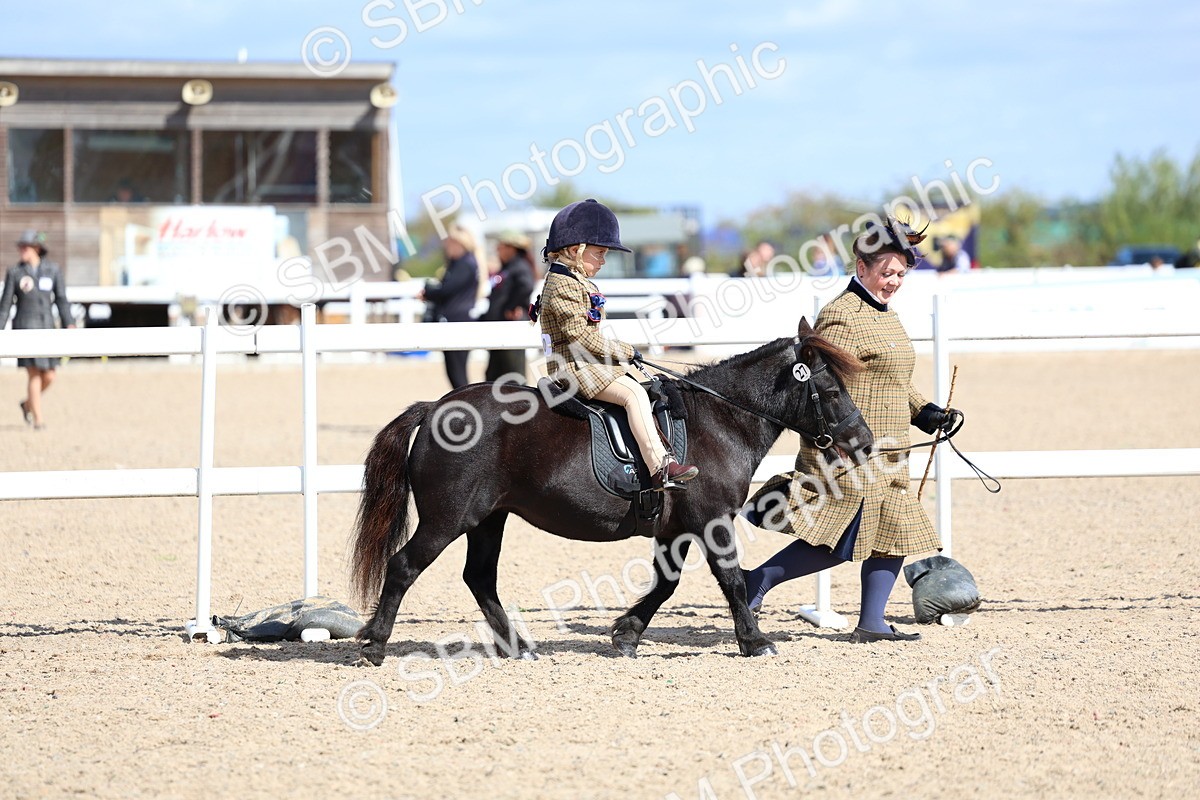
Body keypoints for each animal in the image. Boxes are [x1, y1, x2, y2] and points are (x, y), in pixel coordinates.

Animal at [351, 318, 873, 665]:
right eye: (831, 391)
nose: (864, 442)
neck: (718, 421)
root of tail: (437, 407)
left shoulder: (675, 529)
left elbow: (666, 583)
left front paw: (626, 634)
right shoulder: (713, 520)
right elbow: (731, 579)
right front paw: (755, 641)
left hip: (487, 520)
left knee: (479, 577)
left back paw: (517, 647)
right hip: (448, 518)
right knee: (403, 567)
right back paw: (374, 645)